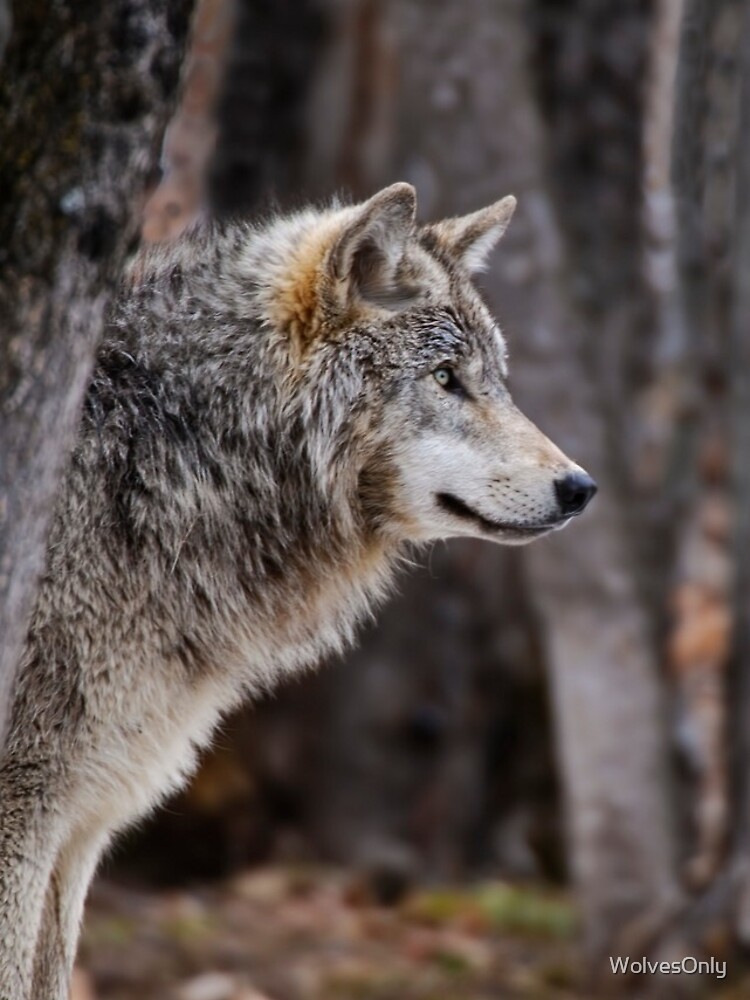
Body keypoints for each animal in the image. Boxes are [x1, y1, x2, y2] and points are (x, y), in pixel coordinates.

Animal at [0, 183, 595, 999]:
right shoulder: (28, 809)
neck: (172, 454)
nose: (582, 488)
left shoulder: (84, 821)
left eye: (496, 379)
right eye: (446, 377)